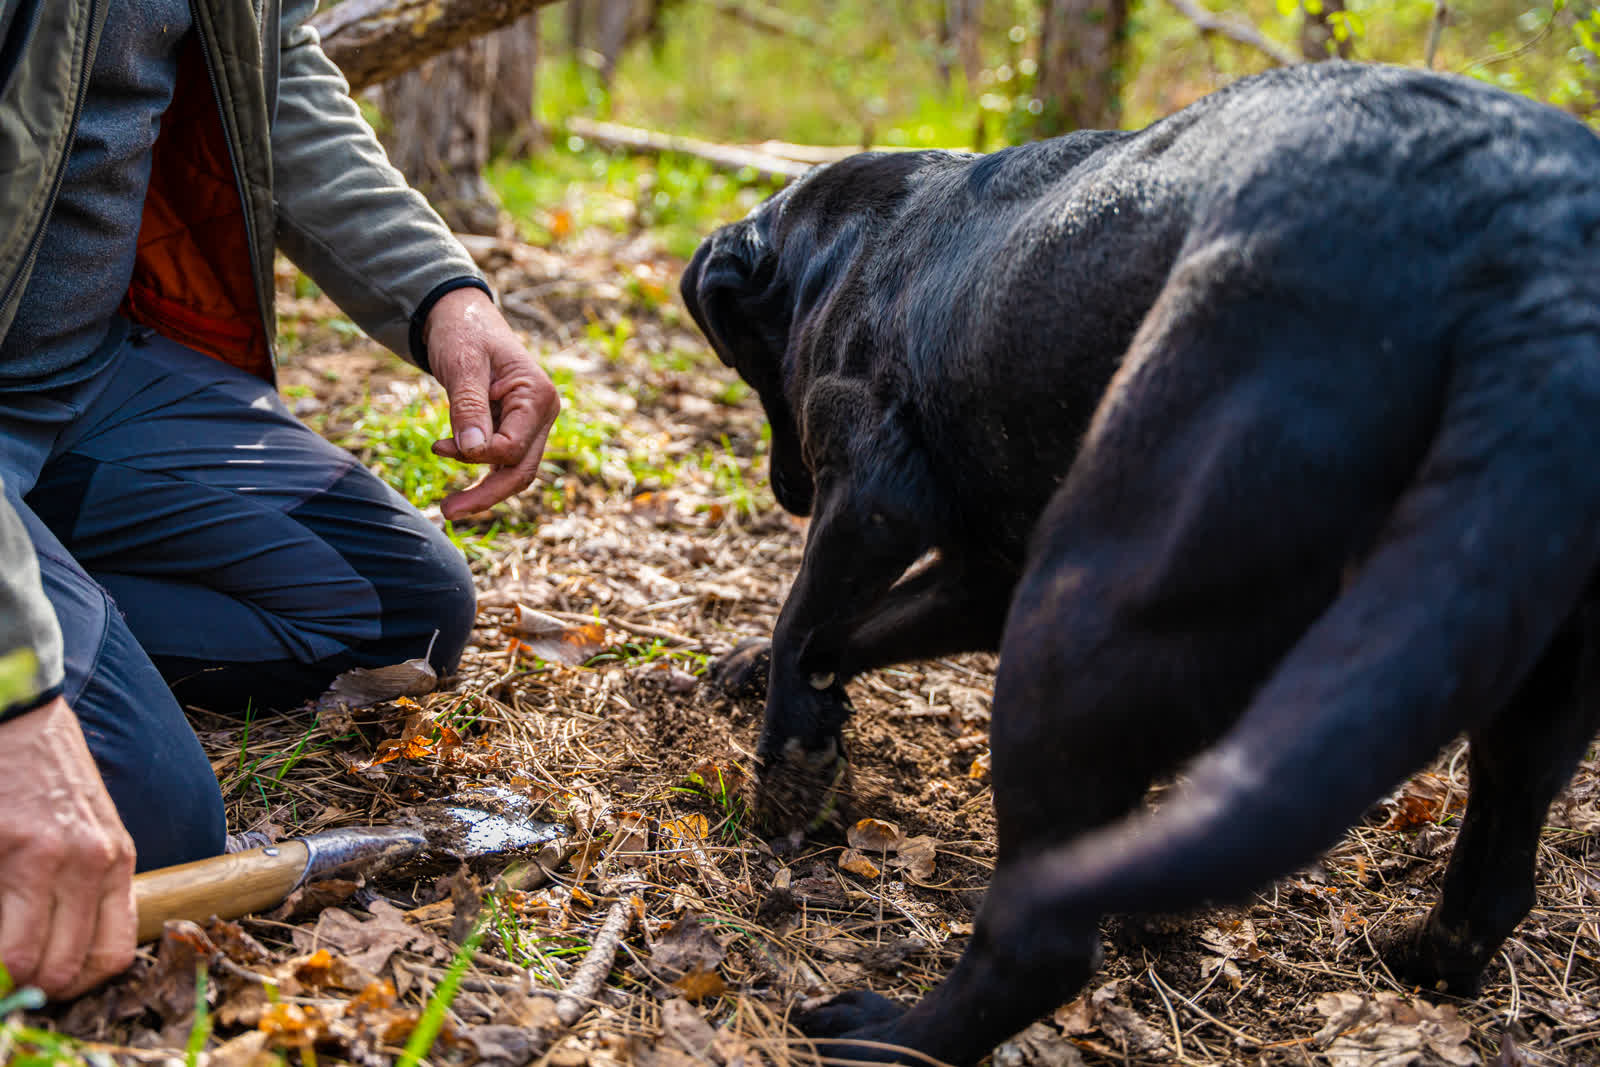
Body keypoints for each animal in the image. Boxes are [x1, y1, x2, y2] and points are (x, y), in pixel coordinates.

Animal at [678, 62, 1600, 1062]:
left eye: (747, 362)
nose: (786, 490)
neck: (841, 246)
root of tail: (1542, 258)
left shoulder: (876, 495)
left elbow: (803, 615)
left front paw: (787, 761)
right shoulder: (984, 573)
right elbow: (839, 634)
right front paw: (780, 692)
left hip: (1088, 606)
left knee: (1038, 946)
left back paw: (880, 1033)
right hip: (1525, 681)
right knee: (1498, 876)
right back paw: (1425, 957)